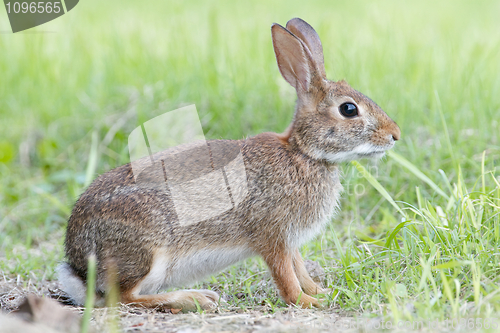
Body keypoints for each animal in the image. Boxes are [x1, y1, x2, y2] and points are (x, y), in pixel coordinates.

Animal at [58, 16, 400, 310]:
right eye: (348, 109)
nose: (394, 135)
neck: (303, 152)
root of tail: (78, 269)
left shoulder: (291, 241)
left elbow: (299, 268)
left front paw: (321, 291)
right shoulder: (272, 235)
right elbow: (285, 277)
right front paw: (308, 302)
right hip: (147, 251)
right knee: (123, 298)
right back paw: (195, 299)